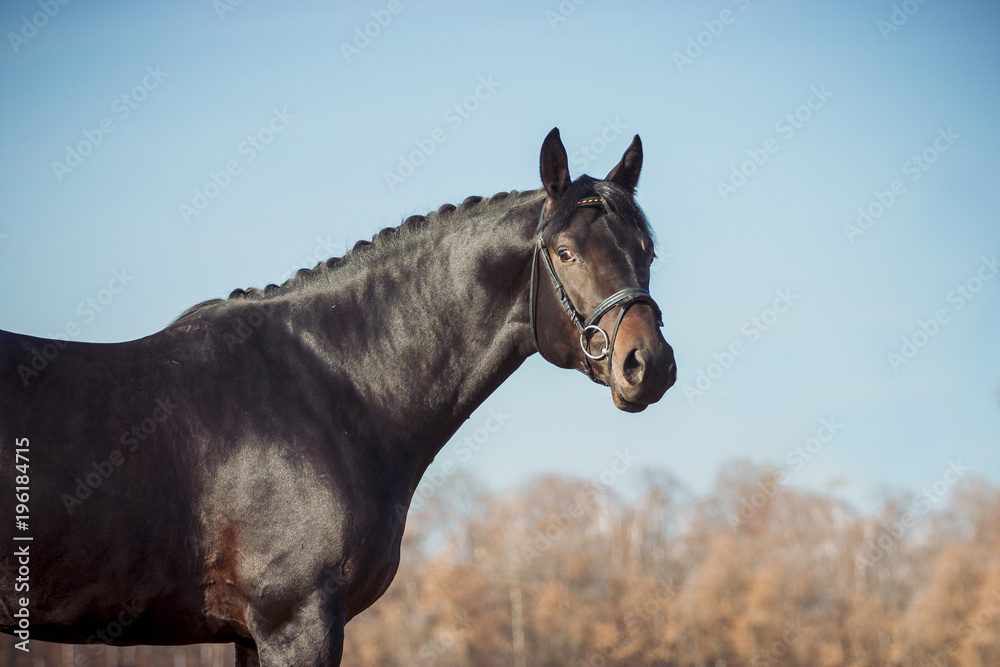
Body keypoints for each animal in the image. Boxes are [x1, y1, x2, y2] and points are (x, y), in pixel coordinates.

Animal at [1, 128, 675, 665]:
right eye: (565, 253)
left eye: (647, 252)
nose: (650, 366)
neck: (331, 387)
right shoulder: (295, 624)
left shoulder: (252, 636)